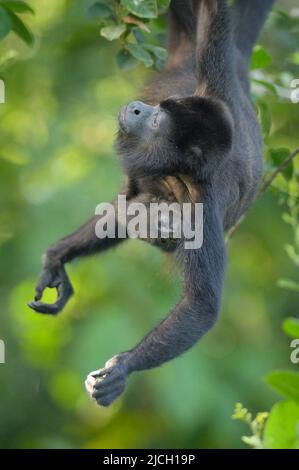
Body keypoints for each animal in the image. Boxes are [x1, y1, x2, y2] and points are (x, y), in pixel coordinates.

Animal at [28, 0, 276, 406]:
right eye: (158, 108)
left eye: (158, 119)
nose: (139, 109)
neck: (177, 172)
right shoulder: (214, 85)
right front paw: (56, 257)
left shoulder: (203, 210)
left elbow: (201, 306)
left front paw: (123, 366)